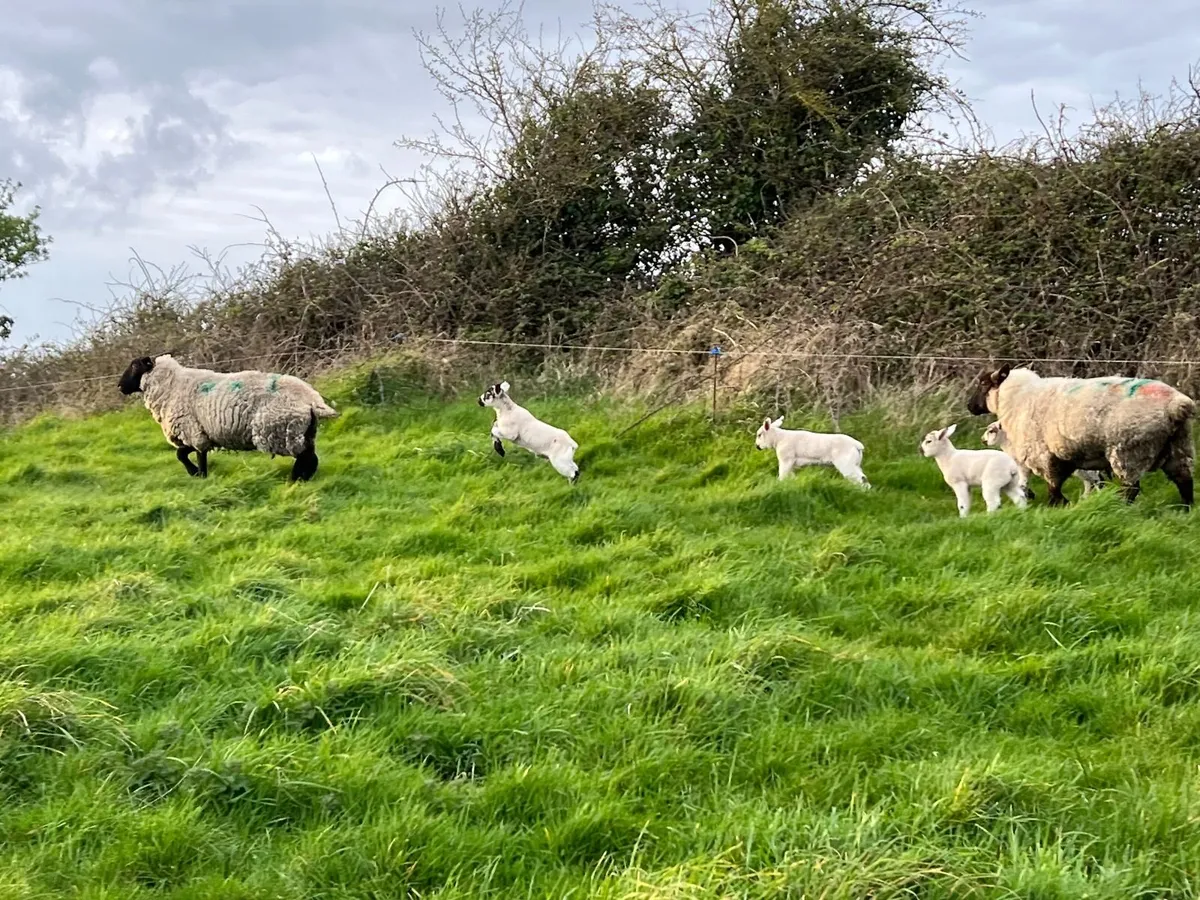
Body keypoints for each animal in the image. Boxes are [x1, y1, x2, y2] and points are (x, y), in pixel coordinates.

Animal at [117, 354, 338, 481]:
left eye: (135, 366)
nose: (119, 386)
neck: (171, 385)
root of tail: (312, 399)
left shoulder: (193, 431)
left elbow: (187, 455)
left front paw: (199, 474)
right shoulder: (201, 433)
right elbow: (183, 454)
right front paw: (198, 474)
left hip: (281, 430)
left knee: (305, 456)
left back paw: (295, 479)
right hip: (303, 430)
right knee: (311, 456)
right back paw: (302, 478)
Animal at [968, 364, 1195, 508]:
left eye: (983, 384)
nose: (969, 406)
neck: (1018, 397)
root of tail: (1177, 405)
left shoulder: (1044, 454)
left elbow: (1053, 485)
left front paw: (1057, 505)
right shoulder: (1064, 455)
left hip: (1129, 451)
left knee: (1131, 488)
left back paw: (1122, 507)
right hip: (1179, 447)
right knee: (1184, 481)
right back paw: (1186, 509)